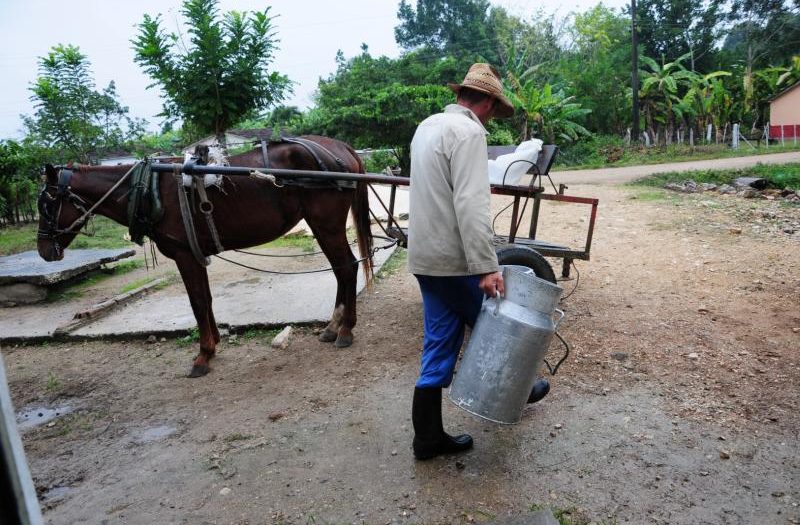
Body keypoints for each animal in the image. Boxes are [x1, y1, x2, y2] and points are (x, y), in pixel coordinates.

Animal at [36, 134, 374, 372]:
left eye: (47, 204)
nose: (43, 250)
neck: (148, 187)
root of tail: (341, 148)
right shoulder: (196, 254)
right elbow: (207, 299)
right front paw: (213, 345)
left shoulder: (185, 255)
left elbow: (197, 302)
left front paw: (203, 355)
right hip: (321, 226)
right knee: (341, 270)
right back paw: (333, 327)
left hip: (326, 224)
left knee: (347, 267)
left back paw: (345, 329)